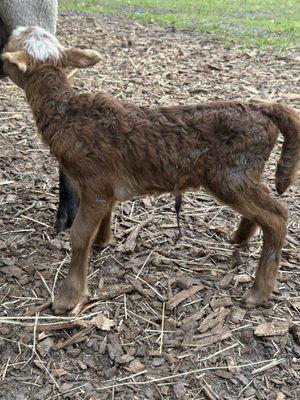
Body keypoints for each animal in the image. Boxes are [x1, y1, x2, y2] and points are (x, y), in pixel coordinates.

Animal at [2, 27, 300, 316]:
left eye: (8, 49)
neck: (67, 114)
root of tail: (263, 109)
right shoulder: (104, 187)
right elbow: (104, 216)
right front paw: (102, 241)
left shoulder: (94, 182)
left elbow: (78, 235)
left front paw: (67, 299)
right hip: (245, 173)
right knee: (262, 204)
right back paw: (240, 237)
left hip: (231, 174)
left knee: (277, 217)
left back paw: (258, 293)